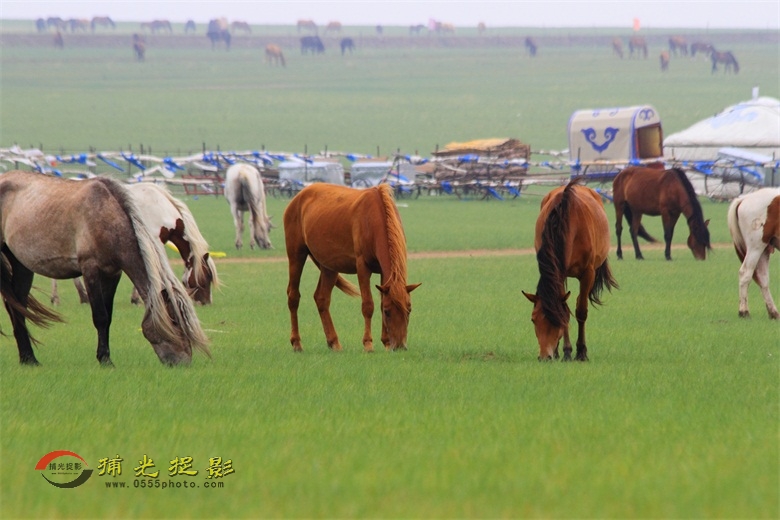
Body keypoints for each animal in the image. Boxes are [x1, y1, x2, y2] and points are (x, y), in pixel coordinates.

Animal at [0, 171, 210, 366]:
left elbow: (108, 317)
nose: (184, 362)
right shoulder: (90, 269)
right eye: (173, 321)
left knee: (17, 305)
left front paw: (105, 356)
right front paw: (105, 361)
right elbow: (100, 316)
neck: (106, 218)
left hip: (21, 265)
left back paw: (28, 358)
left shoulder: (112, 273)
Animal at [283, 183, 420, 352]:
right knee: (293, 296)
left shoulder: (384, 273)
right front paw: (368, 344)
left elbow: (381, 301)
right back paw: (297, 343)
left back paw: (334, 342)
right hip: (296, 256)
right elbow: (368, 305)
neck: (374, 218)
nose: (400, 346)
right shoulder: (362, 268)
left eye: (409, 310)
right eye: (388, 312)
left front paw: (386, 342)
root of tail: (298, 197)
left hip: (329, 267)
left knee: (322, 299)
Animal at [522, 179, 618, 361]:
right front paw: (565, 351)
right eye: (532, 319)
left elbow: (580, 311)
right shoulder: (560, 273)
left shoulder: (588, 273)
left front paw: (581, 352)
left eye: (555, 321)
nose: (544, 357)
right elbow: (565, 307)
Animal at [727, 188, 780, 319]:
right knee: (745, 273)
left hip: (764, 250)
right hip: (756, 247)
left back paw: (773, 312)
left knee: (763, 279)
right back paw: (744, 311)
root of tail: (743, 199)